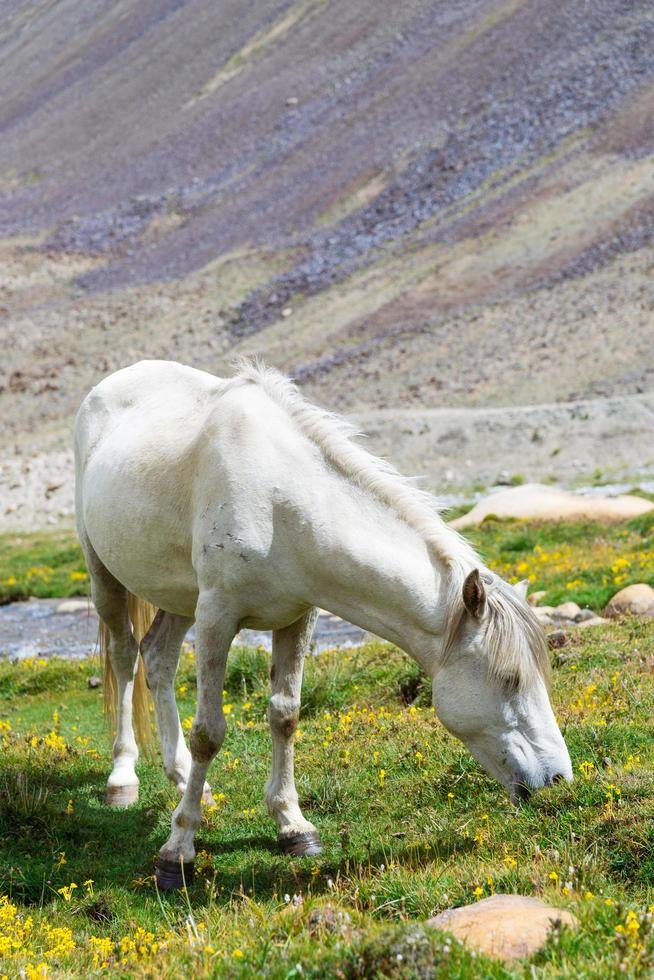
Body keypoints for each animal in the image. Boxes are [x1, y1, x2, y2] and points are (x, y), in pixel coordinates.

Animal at [73, 358, 576, 888]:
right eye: (510, 679)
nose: (558, 779)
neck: (279, 501)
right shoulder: (217, 618)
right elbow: (209, 731)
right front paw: (178, 851)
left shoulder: (298, 616)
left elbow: (285, 715)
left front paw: (292, 826)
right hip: (105, 574)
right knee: (125, 659)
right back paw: (123, 779)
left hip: (178, 597)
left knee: (158, 658)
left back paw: (183, 777)